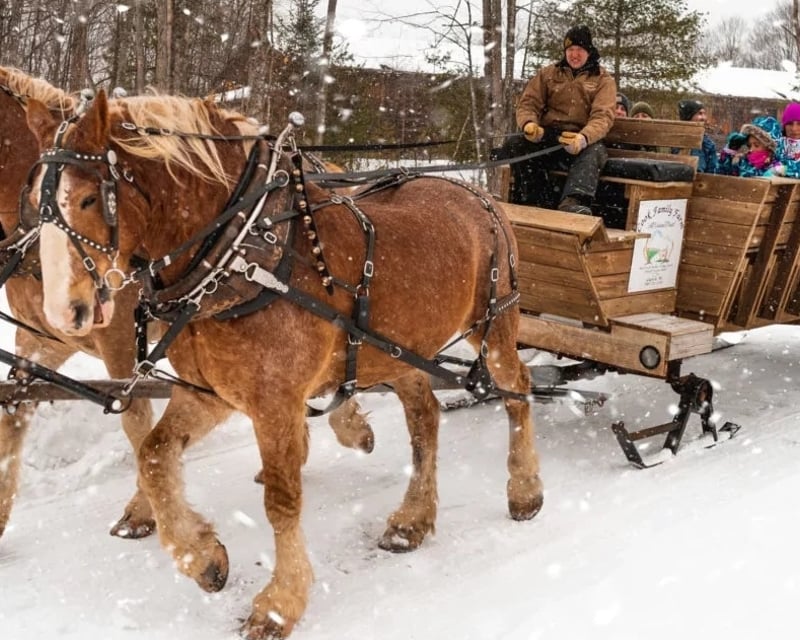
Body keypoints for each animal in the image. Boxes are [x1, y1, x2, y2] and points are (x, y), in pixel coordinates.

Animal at [25, 89, 543, 638]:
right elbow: (154, 456)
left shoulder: (274, 402)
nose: (63, 312)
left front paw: (279, 603)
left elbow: (281, 499)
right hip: (398, 350)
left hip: (496, 325)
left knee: (517, 390)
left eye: (87, 199)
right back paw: (412, 520)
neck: (241, 254)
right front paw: (204, 559)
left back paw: (525, 490)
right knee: (425, 418)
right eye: (34, 202)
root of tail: (479, 193)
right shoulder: (211, 392)